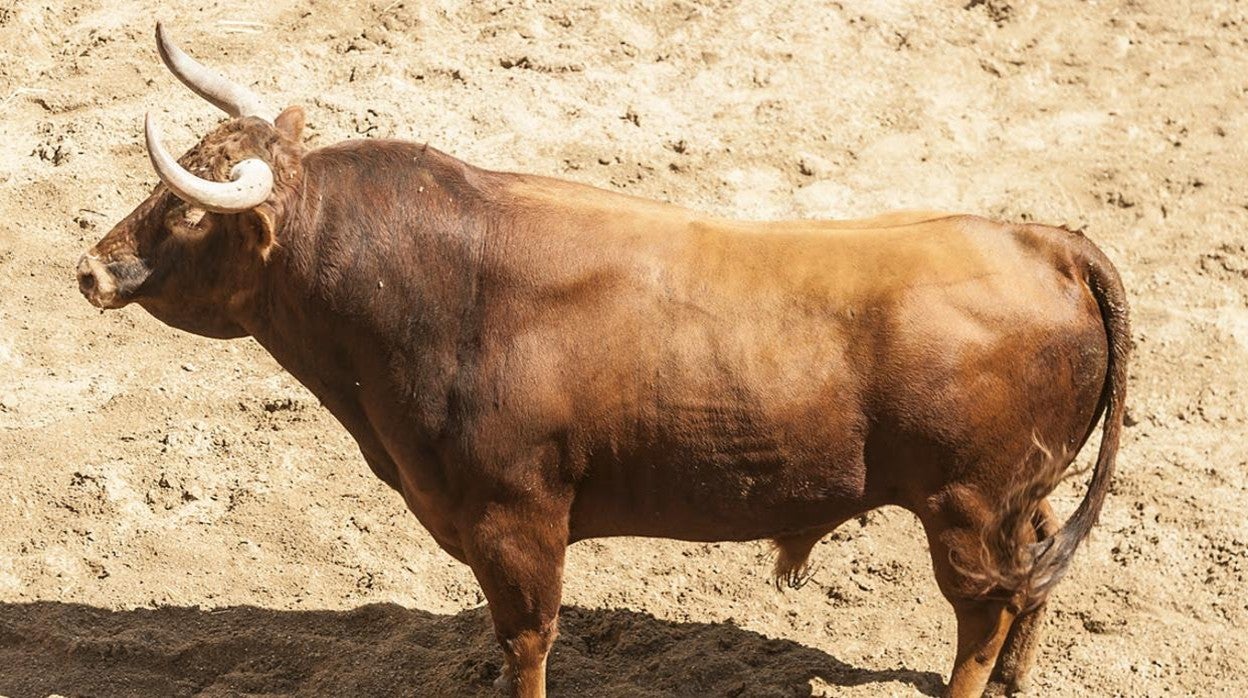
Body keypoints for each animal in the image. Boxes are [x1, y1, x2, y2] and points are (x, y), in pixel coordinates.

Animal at [78, 23, 1133, 698]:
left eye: (188, 210)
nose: (91, 267)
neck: (432, 287)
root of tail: (1049, 242)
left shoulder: (515, 521)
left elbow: (529, 642)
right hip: (1014, 497)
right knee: (1036, 569)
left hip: (965, 512)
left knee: (985, 611)